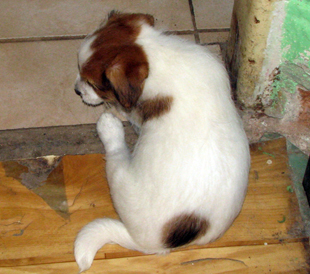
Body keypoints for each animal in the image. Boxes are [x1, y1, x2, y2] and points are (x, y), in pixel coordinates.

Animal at [74, 10, 251, 272]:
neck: (156, 53)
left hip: (119, 177)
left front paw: (114, 109)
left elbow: (128, 110)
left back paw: (109, 128)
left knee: (115, 151)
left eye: (94, 84)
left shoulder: (137, 113)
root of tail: (154, 244)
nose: (77, 90)